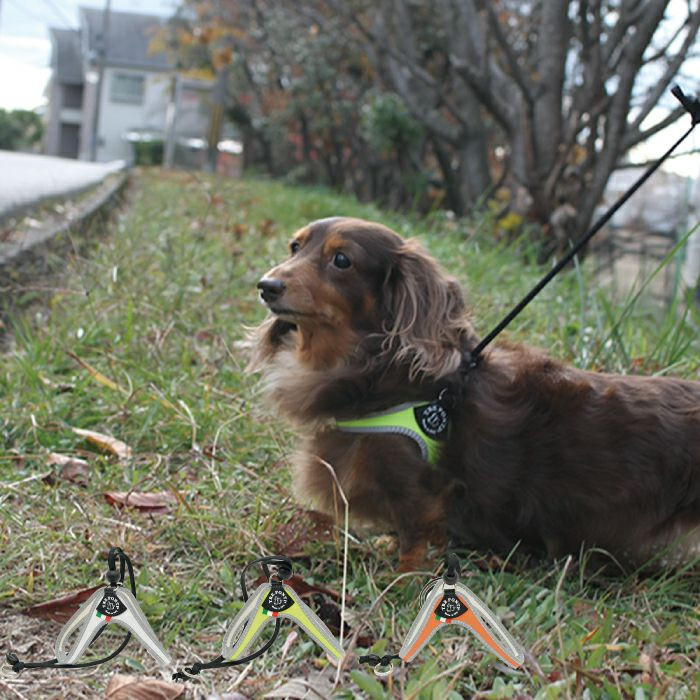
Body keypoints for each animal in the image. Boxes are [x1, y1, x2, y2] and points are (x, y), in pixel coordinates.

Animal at [249, 216, 696, 572]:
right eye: (295, 246)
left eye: (342, 260)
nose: (266, 285)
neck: (378, 368)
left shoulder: (419, 486)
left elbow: (417, 535)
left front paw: (403, 577)